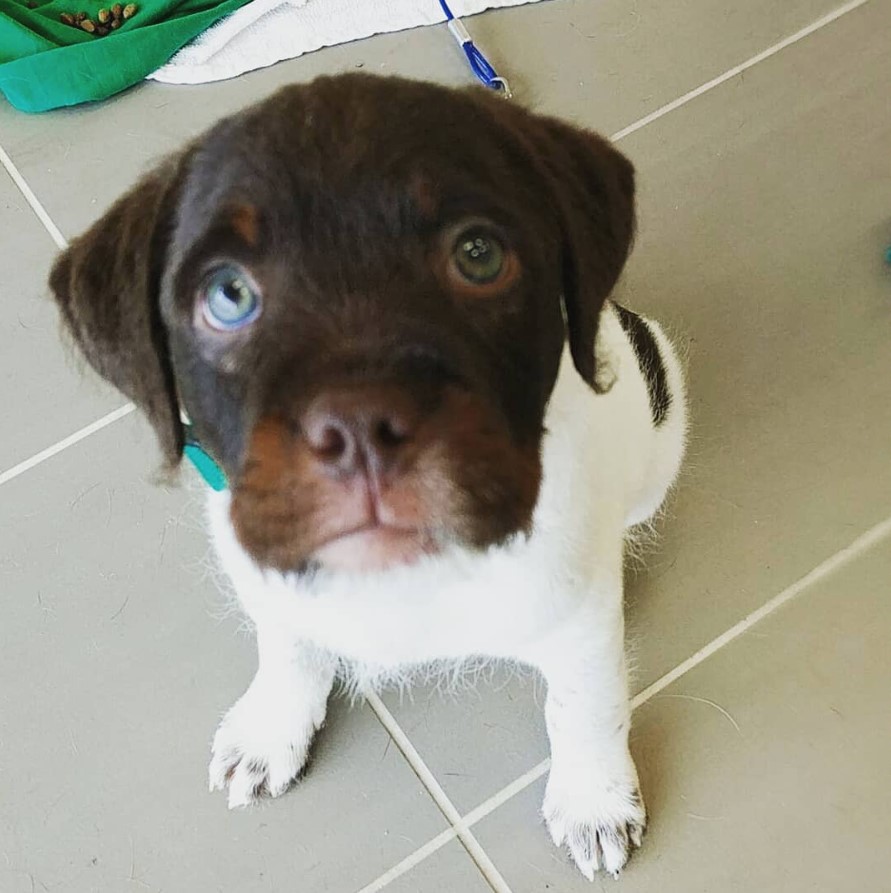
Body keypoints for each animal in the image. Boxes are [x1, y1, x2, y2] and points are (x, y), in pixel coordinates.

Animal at [48, 75, 688, 880]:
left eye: (478, 255)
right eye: (228, 295)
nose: (360, 434)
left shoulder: (576, 615)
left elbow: (584, 701)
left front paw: (592, 798)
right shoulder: (269, 576)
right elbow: (288, 645)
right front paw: (271, 726)